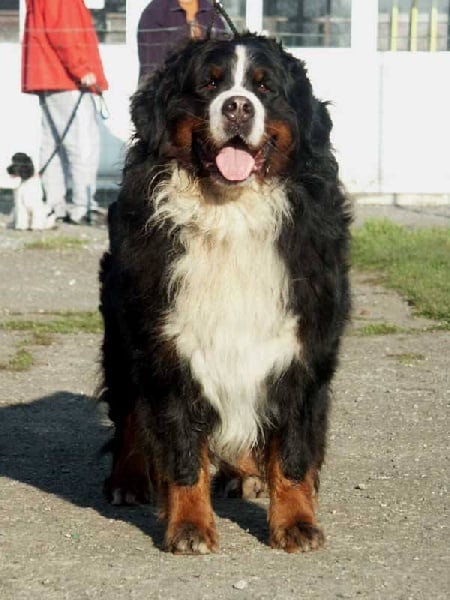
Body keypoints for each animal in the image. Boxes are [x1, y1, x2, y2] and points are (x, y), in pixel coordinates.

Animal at [99, 33, 351, 554]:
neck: (230, 216)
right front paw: (190, 527)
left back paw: (247, 473)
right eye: (209, 85)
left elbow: (293, 449)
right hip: (122, 333)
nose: (237, 106)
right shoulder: (167, 347)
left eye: (265, 87)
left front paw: (295, 522)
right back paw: (127, 479)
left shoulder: (302, 348)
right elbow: (181, 448)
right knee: (129, 410)